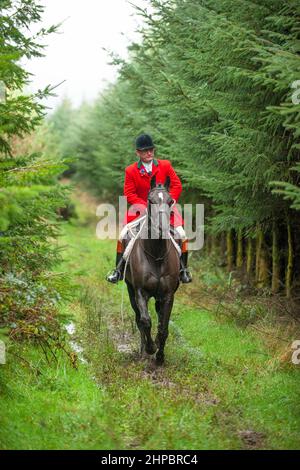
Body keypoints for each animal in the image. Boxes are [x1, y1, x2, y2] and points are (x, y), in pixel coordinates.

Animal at [123, 174, 179, 366]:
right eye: (150, 200)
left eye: (170, 201)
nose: (162, 229)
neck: (156, 254)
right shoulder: (140, 291)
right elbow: (145, 321)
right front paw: (150, 348)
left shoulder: (168, 295)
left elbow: (163, 327)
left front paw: (160, 356)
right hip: (130, 290)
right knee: (138, 318)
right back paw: (142, 349)